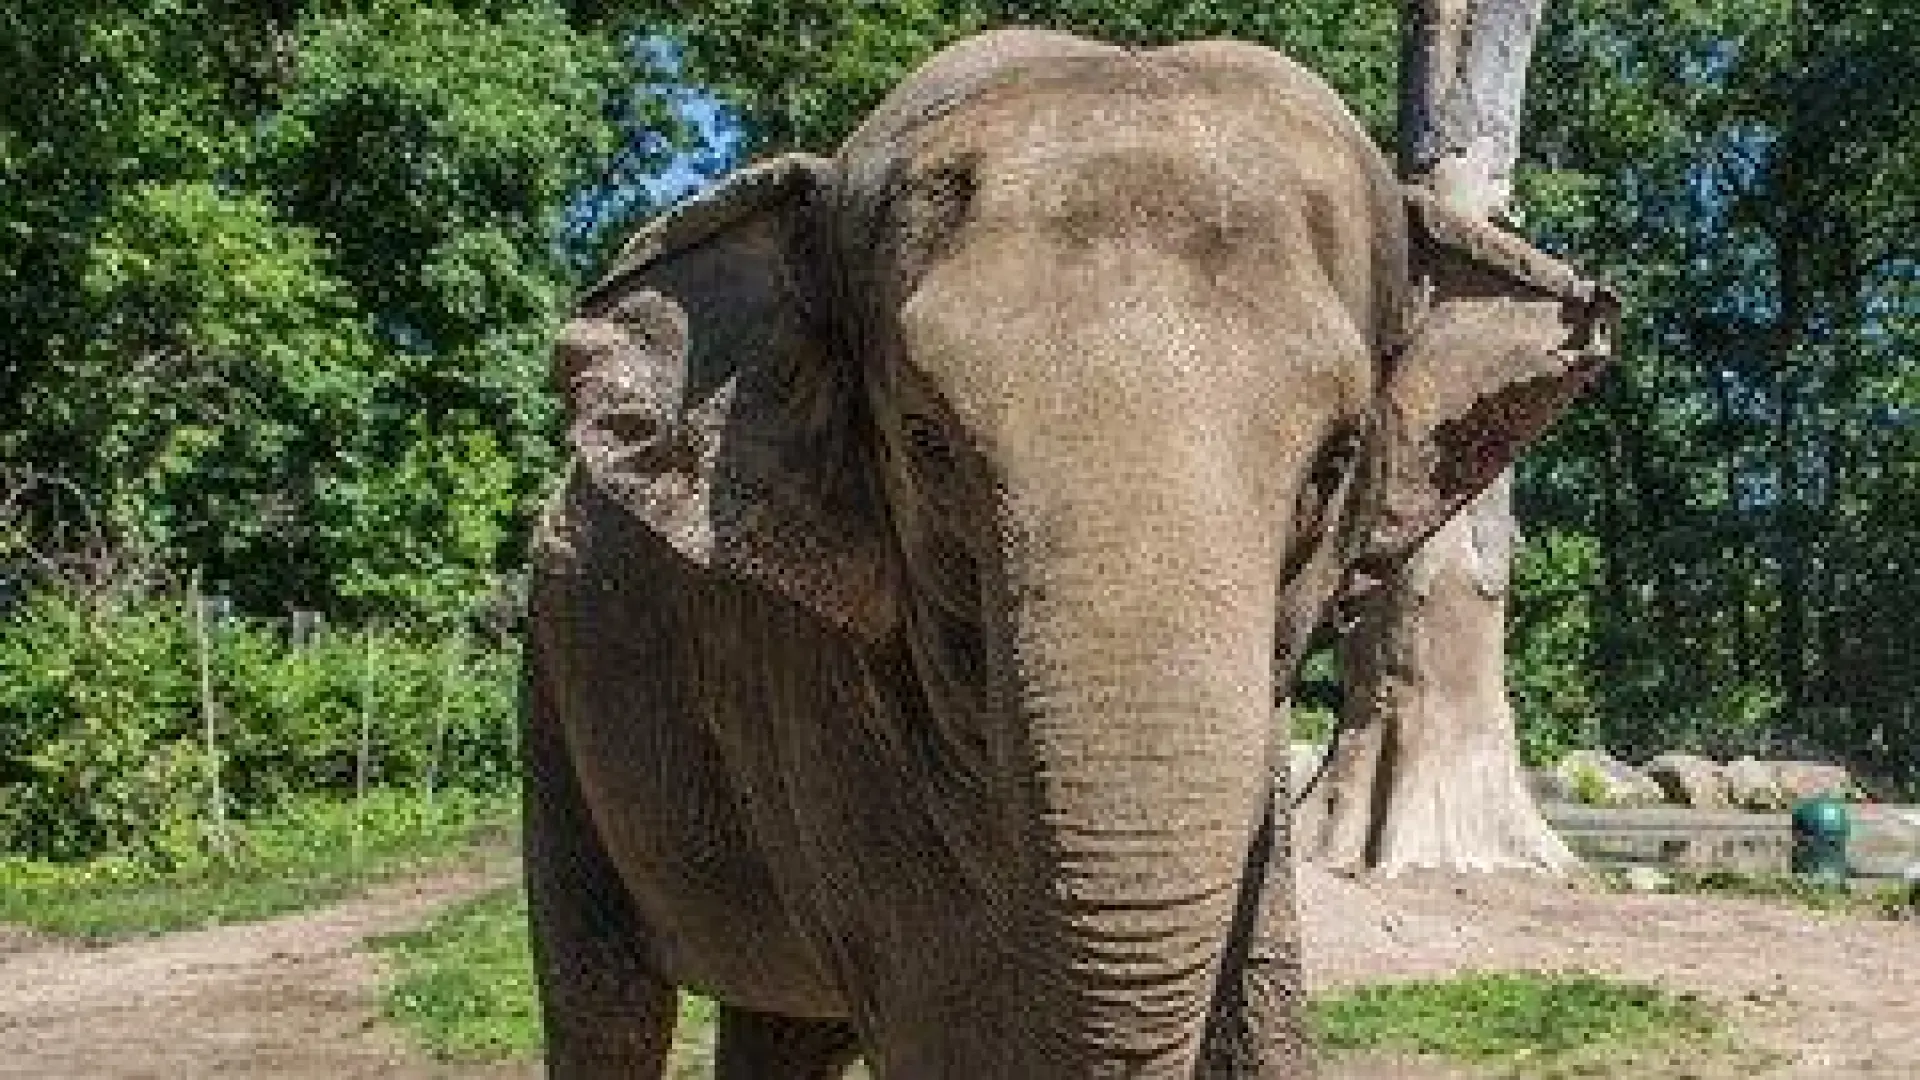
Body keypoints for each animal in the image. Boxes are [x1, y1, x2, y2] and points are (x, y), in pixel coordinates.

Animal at [522, 27, 1615, 1080]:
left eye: (1335, 461)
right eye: (926, 443)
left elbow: (1261, 1012)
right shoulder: (816, 689)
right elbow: (945, 1031)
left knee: (790, 1030)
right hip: (554, 693)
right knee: (605, 1007)